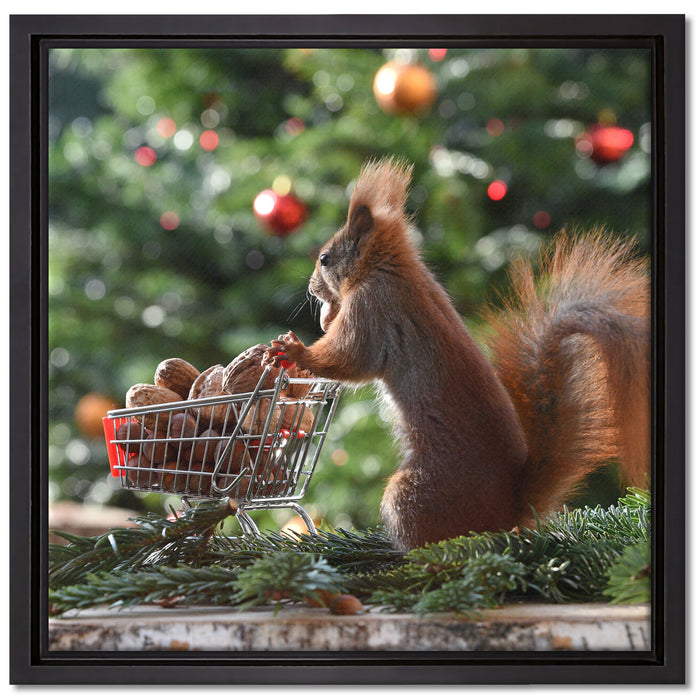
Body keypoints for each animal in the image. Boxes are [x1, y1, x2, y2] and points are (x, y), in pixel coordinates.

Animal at [267, 157, 651, 551]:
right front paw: (324, 320)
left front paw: (295, 350)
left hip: (412, 494)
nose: (312, 288)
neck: (391, 269)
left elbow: (349, 358)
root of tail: (509, 510)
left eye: (325, 259)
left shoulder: (373, 307)